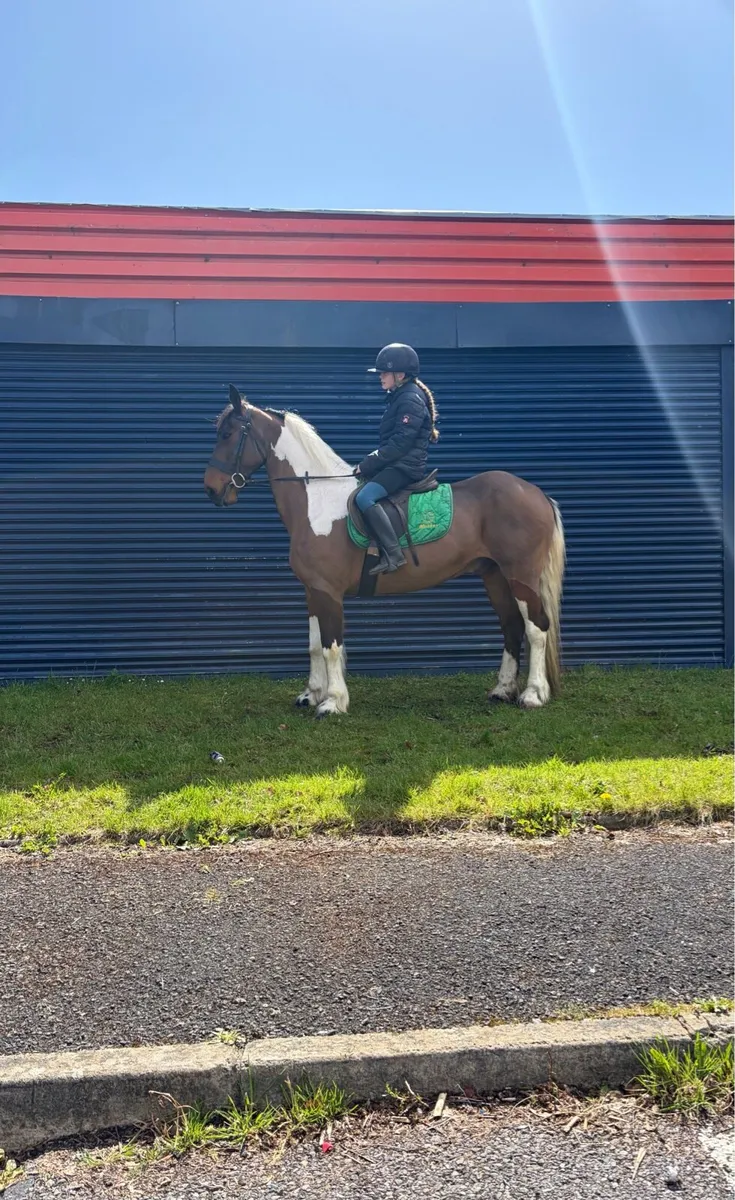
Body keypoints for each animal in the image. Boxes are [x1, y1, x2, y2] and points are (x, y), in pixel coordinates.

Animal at [204, 385, 566, 718]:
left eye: (227, 433)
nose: (210, 488)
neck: (317, 501)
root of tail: (535, 493)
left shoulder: (328, 592)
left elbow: (331, 646)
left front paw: (332, 702)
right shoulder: (312, 590)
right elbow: (314, 645)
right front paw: (311, 694)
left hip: (520, 576)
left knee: (536, 628)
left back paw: (533, 694)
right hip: (495, 576)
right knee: (511, 627)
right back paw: (502, 690)